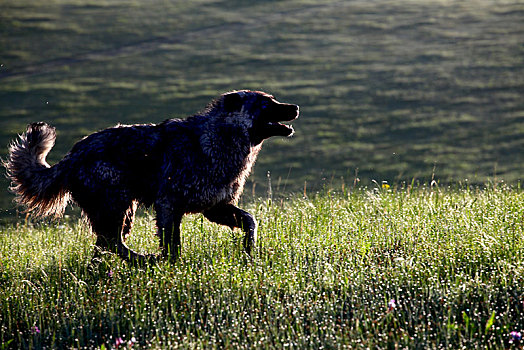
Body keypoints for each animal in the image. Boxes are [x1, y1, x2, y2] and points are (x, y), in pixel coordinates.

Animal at [5, 91, 298, 262]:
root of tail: (70, 157)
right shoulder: (169, 206)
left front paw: (249, 250)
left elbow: (250, 221)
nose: (295, 107)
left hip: (122, 212)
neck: (220, 138)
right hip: (117, 205)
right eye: (267, 104)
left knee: (104, 245)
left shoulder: (215, 208)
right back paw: (145, 260)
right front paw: (171, 267)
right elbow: (173, 246)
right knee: (112, 243)